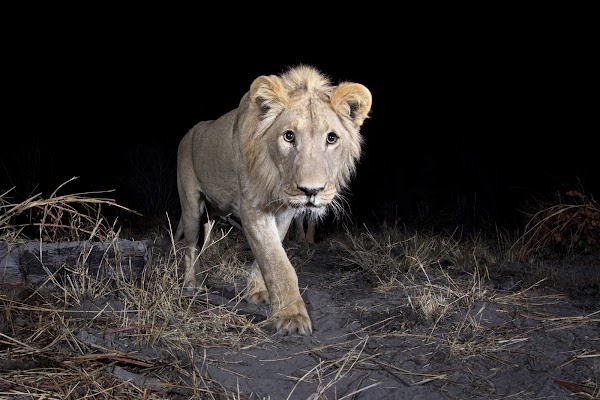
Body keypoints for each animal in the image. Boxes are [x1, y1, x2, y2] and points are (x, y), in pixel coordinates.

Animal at [171, 65, 372, 334]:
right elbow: (276, 261)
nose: (311, 190)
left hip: (209, 218)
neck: (276, 179)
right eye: (288, 136)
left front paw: (257, 292)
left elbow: (267, 254)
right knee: (191, 246)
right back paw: (192, 284)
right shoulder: (251, 207)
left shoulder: (285, 211)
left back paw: (201, 280)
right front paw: (291, 317)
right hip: (191, 206)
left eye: (331, 138)